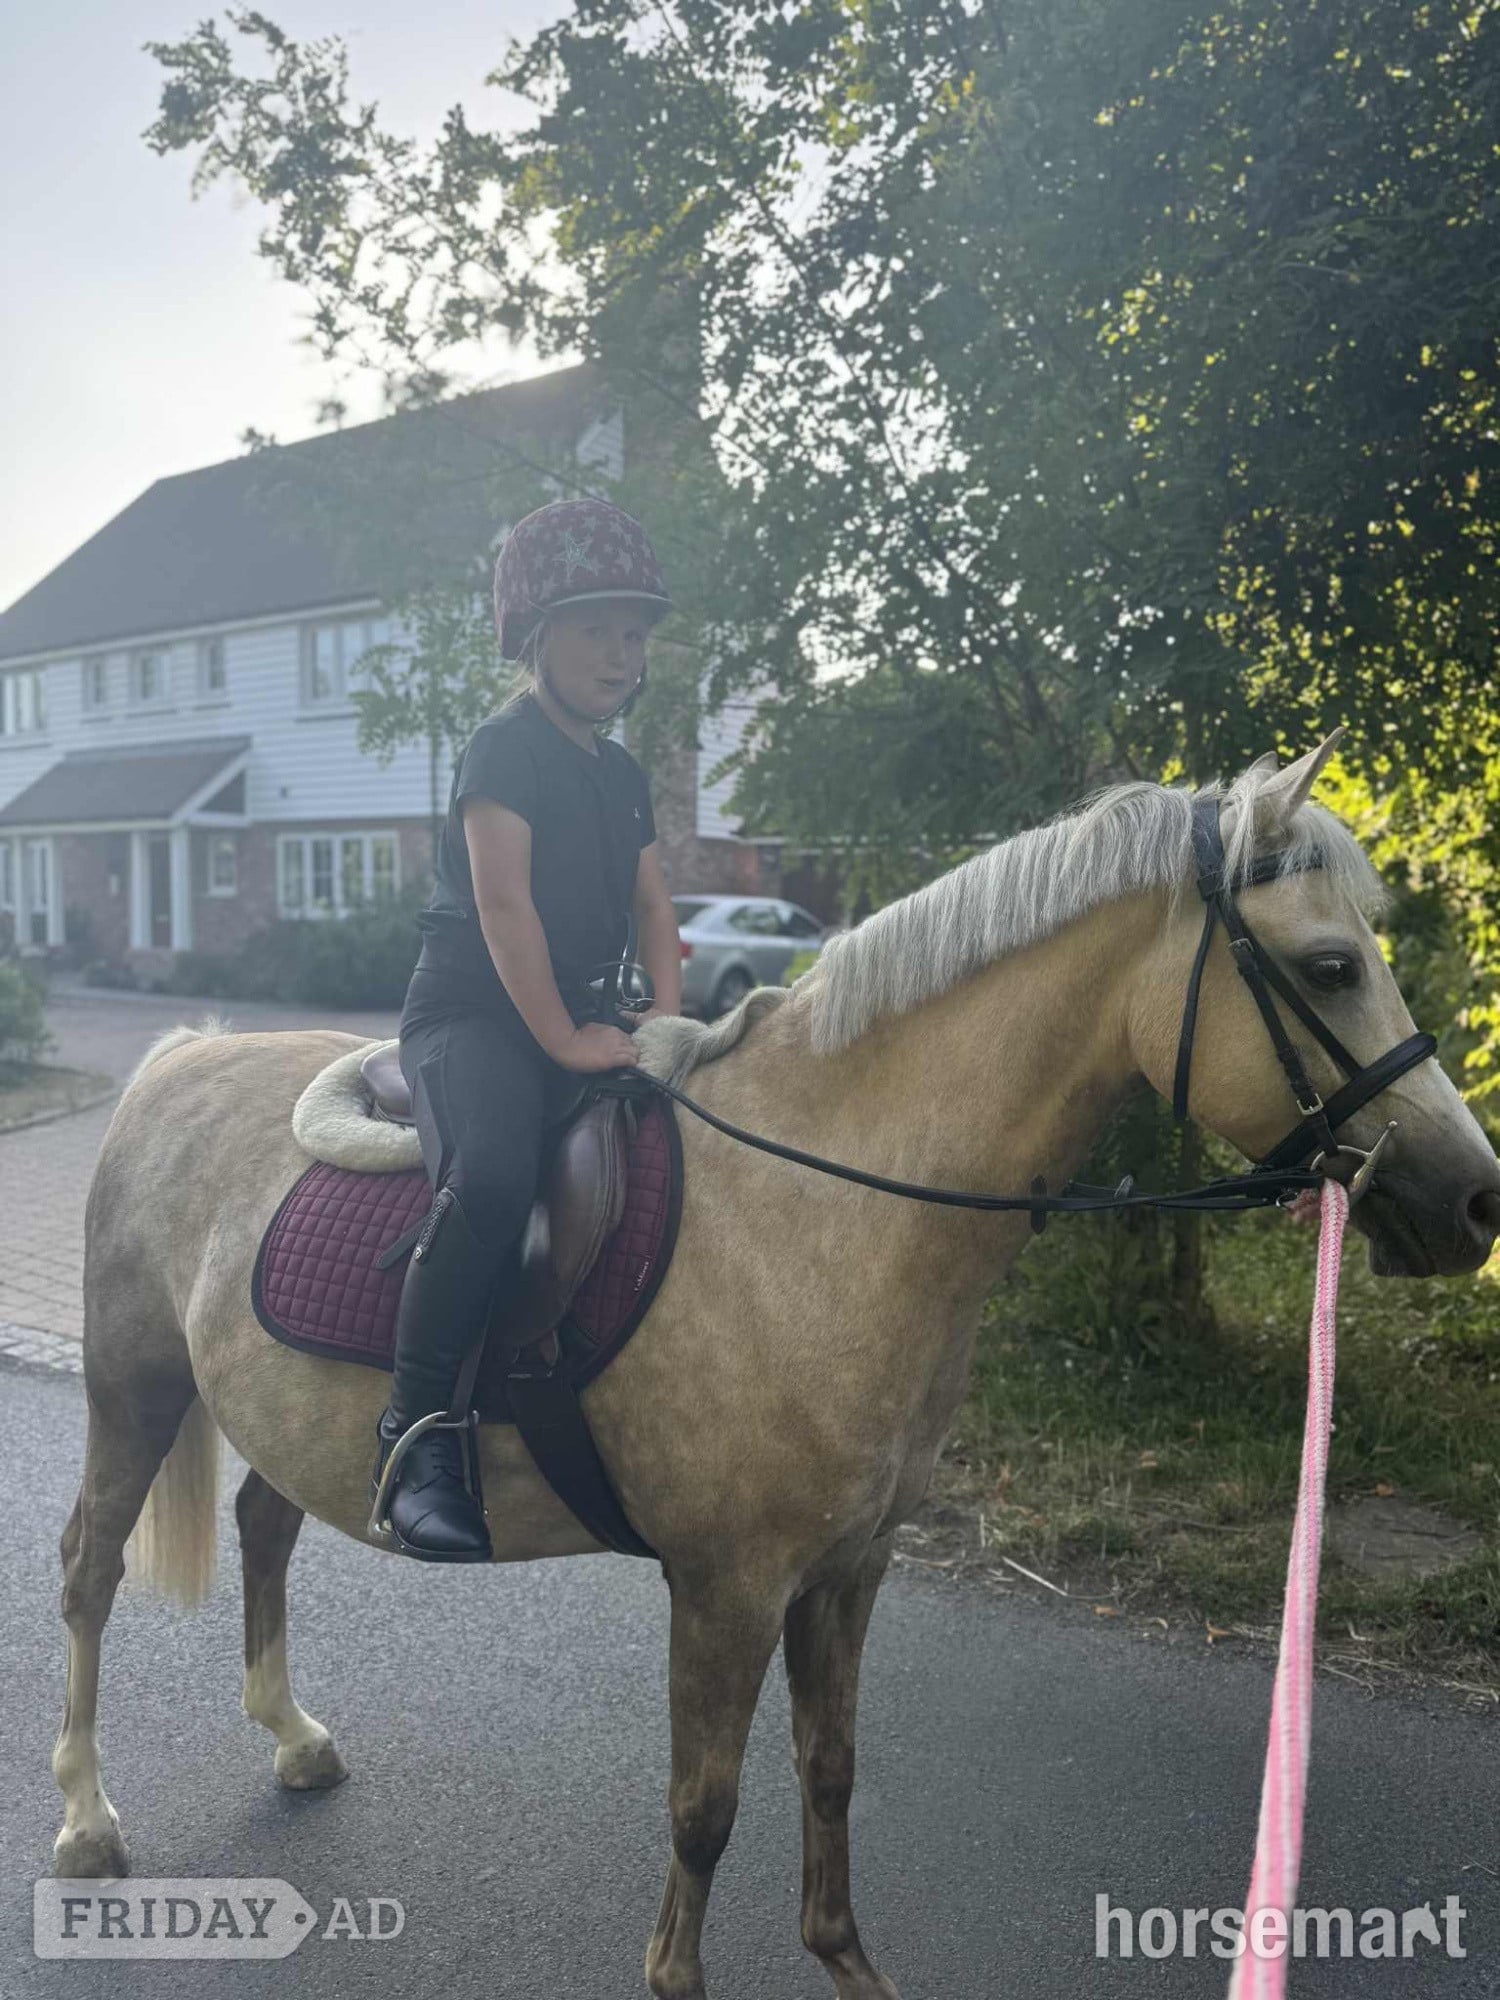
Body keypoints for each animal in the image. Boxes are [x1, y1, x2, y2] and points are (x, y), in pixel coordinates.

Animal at [51, 738, 1500, 2000]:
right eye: (1329, 966)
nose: (1473, 1196)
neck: (823, 1205)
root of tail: (183, 1053)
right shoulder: (726, 1585)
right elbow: (706, 1805)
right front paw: (678, 1980)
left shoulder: (851, 1566)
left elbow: (831, 1766)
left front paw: (847, 1963)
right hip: (135, 1393)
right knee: (90, 1570)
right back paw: (85, 1817)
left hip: (272, 1412)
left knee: (263, 1523)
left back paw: (292, 1737)